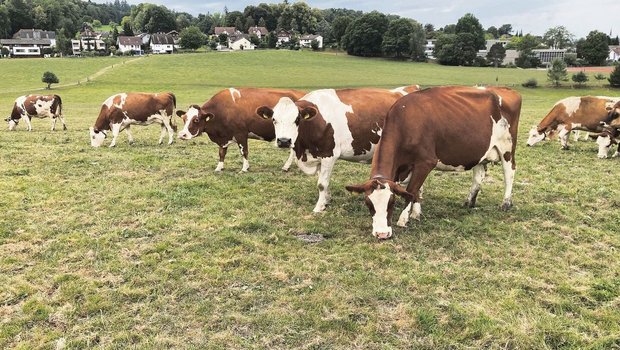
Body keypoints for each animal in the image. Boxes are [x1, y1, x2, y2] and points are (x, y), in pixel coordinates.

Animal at [176, 87, 306, 172]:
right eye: (184, 118)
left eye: (196, 120)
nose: (182, 134)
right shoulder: (224, 137)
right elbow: (221, 153)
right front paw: (219, 167)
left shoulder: (241, 134)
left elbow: (244, 152)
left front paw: (244, 168)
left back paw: (286, 166)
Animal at [254, 86, 418, 215]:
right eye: (274, 120)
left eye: (297, 119)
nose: (283, 141)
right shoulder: (318, 156)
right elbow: (322, 182)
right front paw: (325, 201)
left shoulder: (328, 154)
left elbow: (321, 183)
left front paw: (318, 207)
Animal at [346, 87, 520, 241]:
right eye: (369, 204)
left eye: (392, 202)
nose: (382, 234)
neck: (406, 121)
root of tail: (505, 89)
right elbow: (416, 190)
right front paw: (416, 214)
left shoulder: (426, 162)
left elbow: (412, 190)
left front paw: (404, 219)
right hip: (480, 151)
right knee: (479, 175)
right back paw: (469, 202)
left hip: (507, 147)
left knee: (509, 173)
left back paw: (505, 203)